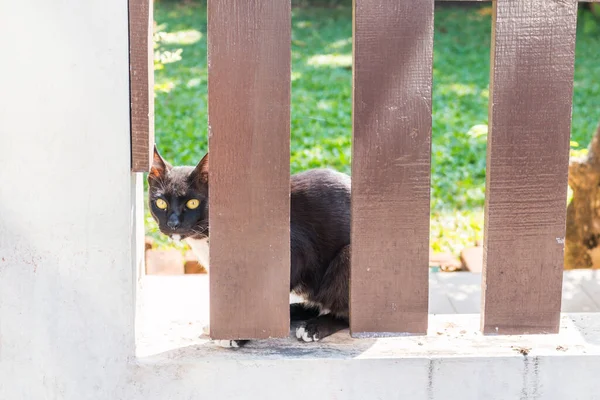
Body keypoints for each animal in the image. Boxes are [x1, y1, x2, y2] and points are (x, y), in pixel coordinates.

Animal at [147, 147, 350, 346]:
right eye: (161, 203)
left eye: (192, 203)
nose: (172, 224)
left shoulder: (292, 254)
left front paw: (238, 335)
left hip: (346, 258)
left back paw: (313, 327)